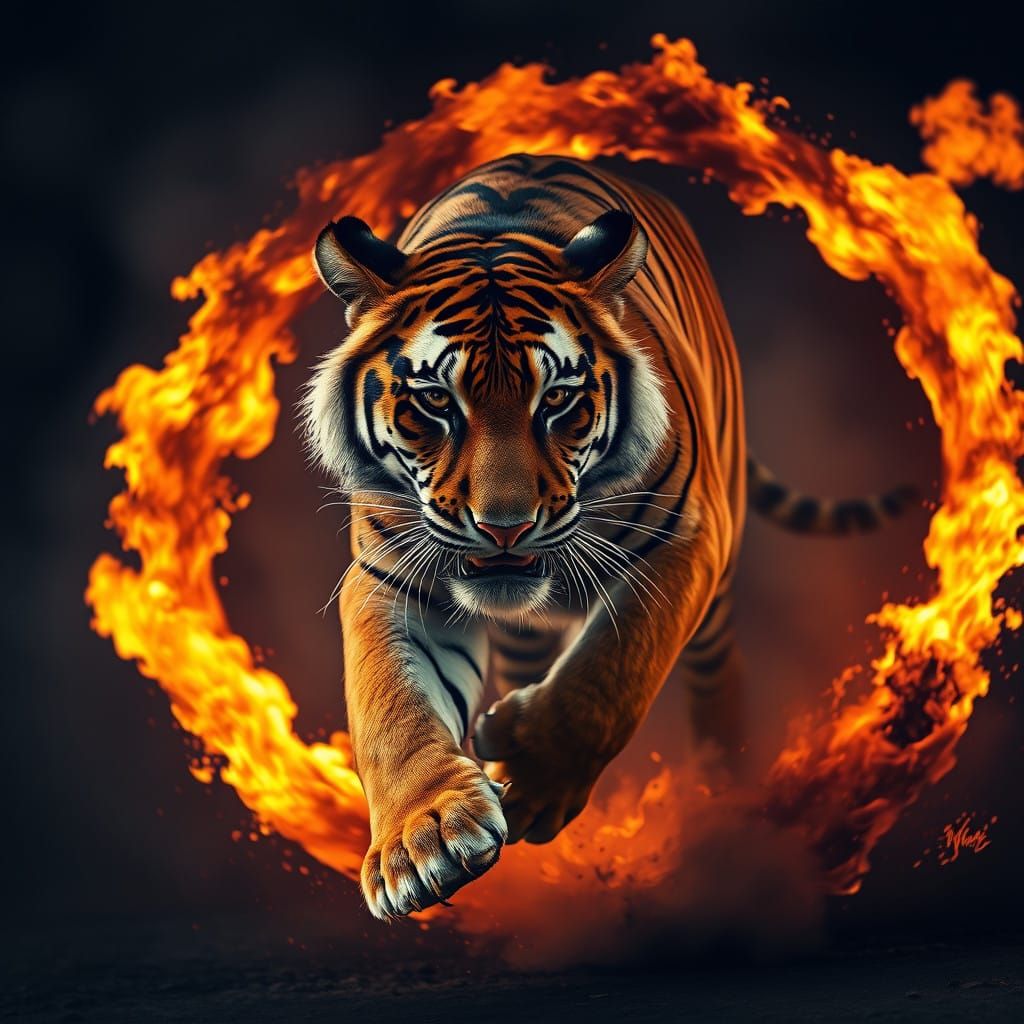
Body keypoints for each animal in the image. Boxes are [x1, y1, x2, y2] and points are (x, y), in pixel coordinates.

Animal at [304, 153, 914, 920]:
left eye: (558, 399)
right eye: (436, 402)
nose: (504, 527)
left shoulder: (681, 544)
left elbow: (610, 673)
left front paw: (534, 773)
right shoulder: (391, 576)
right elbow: (391, 705)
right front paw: (426, 838)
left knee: (717, 674)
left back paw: (725, 793)